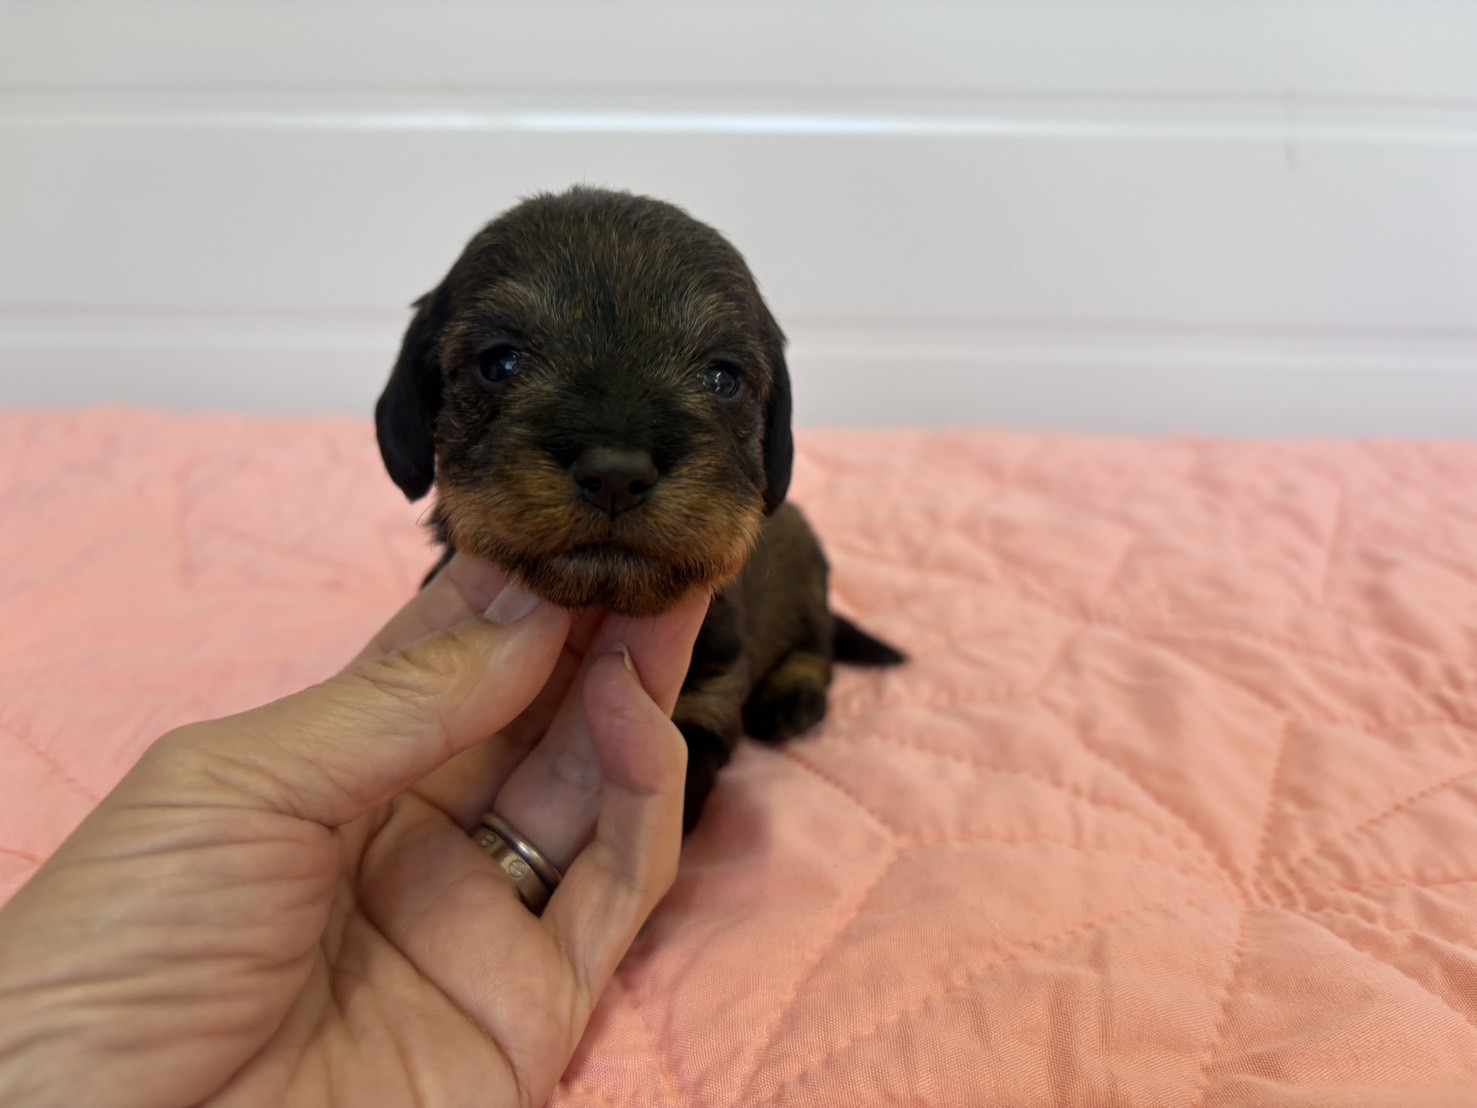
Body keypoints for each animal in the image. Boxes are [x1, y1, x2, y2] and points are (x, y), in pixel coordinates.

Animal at [375, 186, 903, 830]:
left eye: (722, 376)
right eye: (500, 362)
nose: (616, 476)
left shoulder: (703, 709)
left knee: (818, 644)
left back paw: (792, 698)